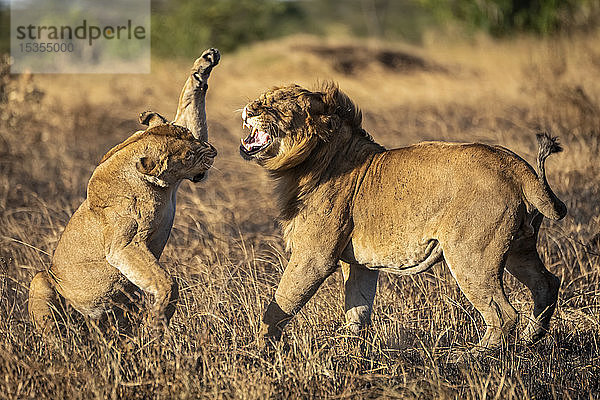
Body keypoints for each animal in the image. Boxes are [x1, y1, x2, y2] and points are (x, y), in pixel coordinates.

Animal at [27, 48, 220, 332]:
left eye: (191, 137)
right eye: (188, 156)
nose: (213, 151)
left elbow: (189, 103)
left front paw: (204, 64)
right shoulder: (123, 246)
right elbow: (167, 282)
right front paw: (156, 323)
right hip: (42, 279)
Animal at [239, 83, 568, 352]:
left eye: (276, 106)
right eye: (260, 99)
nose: (249, 109)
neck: (308, 161)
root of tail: (515, 164)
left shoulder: (314, 257)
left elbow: (280, 304)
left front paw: (259, 349)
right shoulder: (359, 264)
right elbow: (357, 310)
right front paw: (352, 353)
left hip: (470, 255)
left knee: (504, 312)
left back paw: (473, 356)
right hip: (518, 247)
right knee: (547, 283)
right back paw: (529, 339)